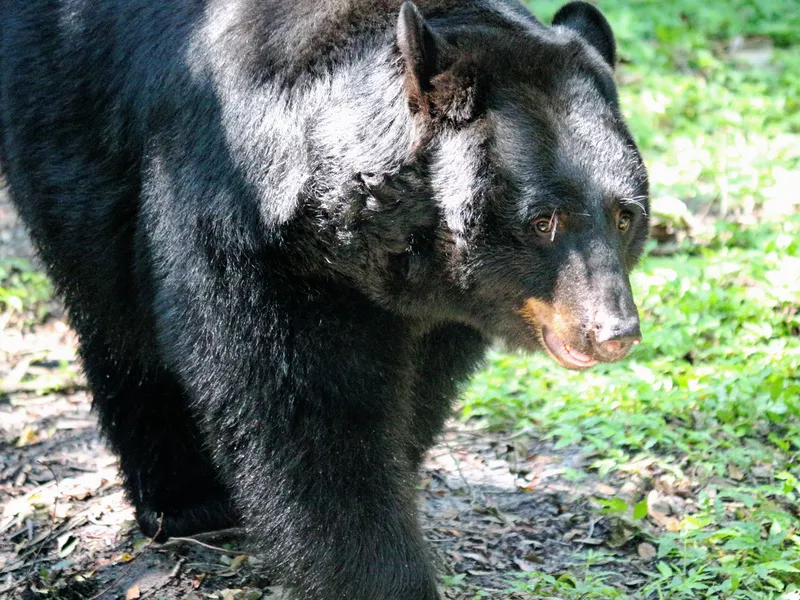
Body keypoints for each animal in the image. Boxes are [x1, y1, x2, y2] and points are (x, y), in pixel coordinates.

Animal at [1, 0, 648, 596]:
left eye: (625, 216)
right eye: (543, 220)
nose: (614, 332)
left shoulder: (447, 302)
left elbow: (418, 388)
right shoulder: (241, 221)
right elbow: (305, 412)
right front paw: (382, 574)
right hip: (67, 127)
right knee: (117, 319)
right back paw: (186, 502)